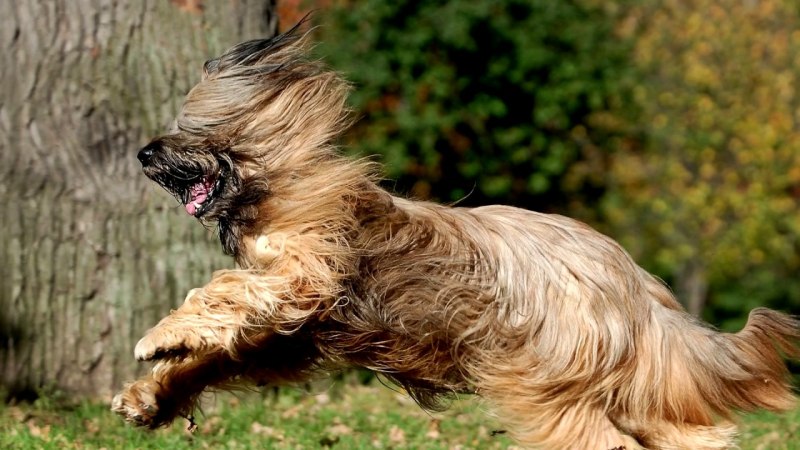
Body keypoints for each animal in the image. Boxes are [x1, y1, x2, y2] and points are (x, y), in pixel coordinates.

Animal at [112, 26, 800, 449]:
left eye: (193, 129)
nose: (143, 154)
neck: (280, 185)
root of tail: (633, 283)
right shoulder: (294, 333)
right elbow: (220, 356)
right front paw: (150, 398)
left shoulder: (304, 272)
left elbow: (221, 290)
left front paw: (158, 338)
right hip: (617, 381)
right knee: (687, 429)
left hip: (539, 379)